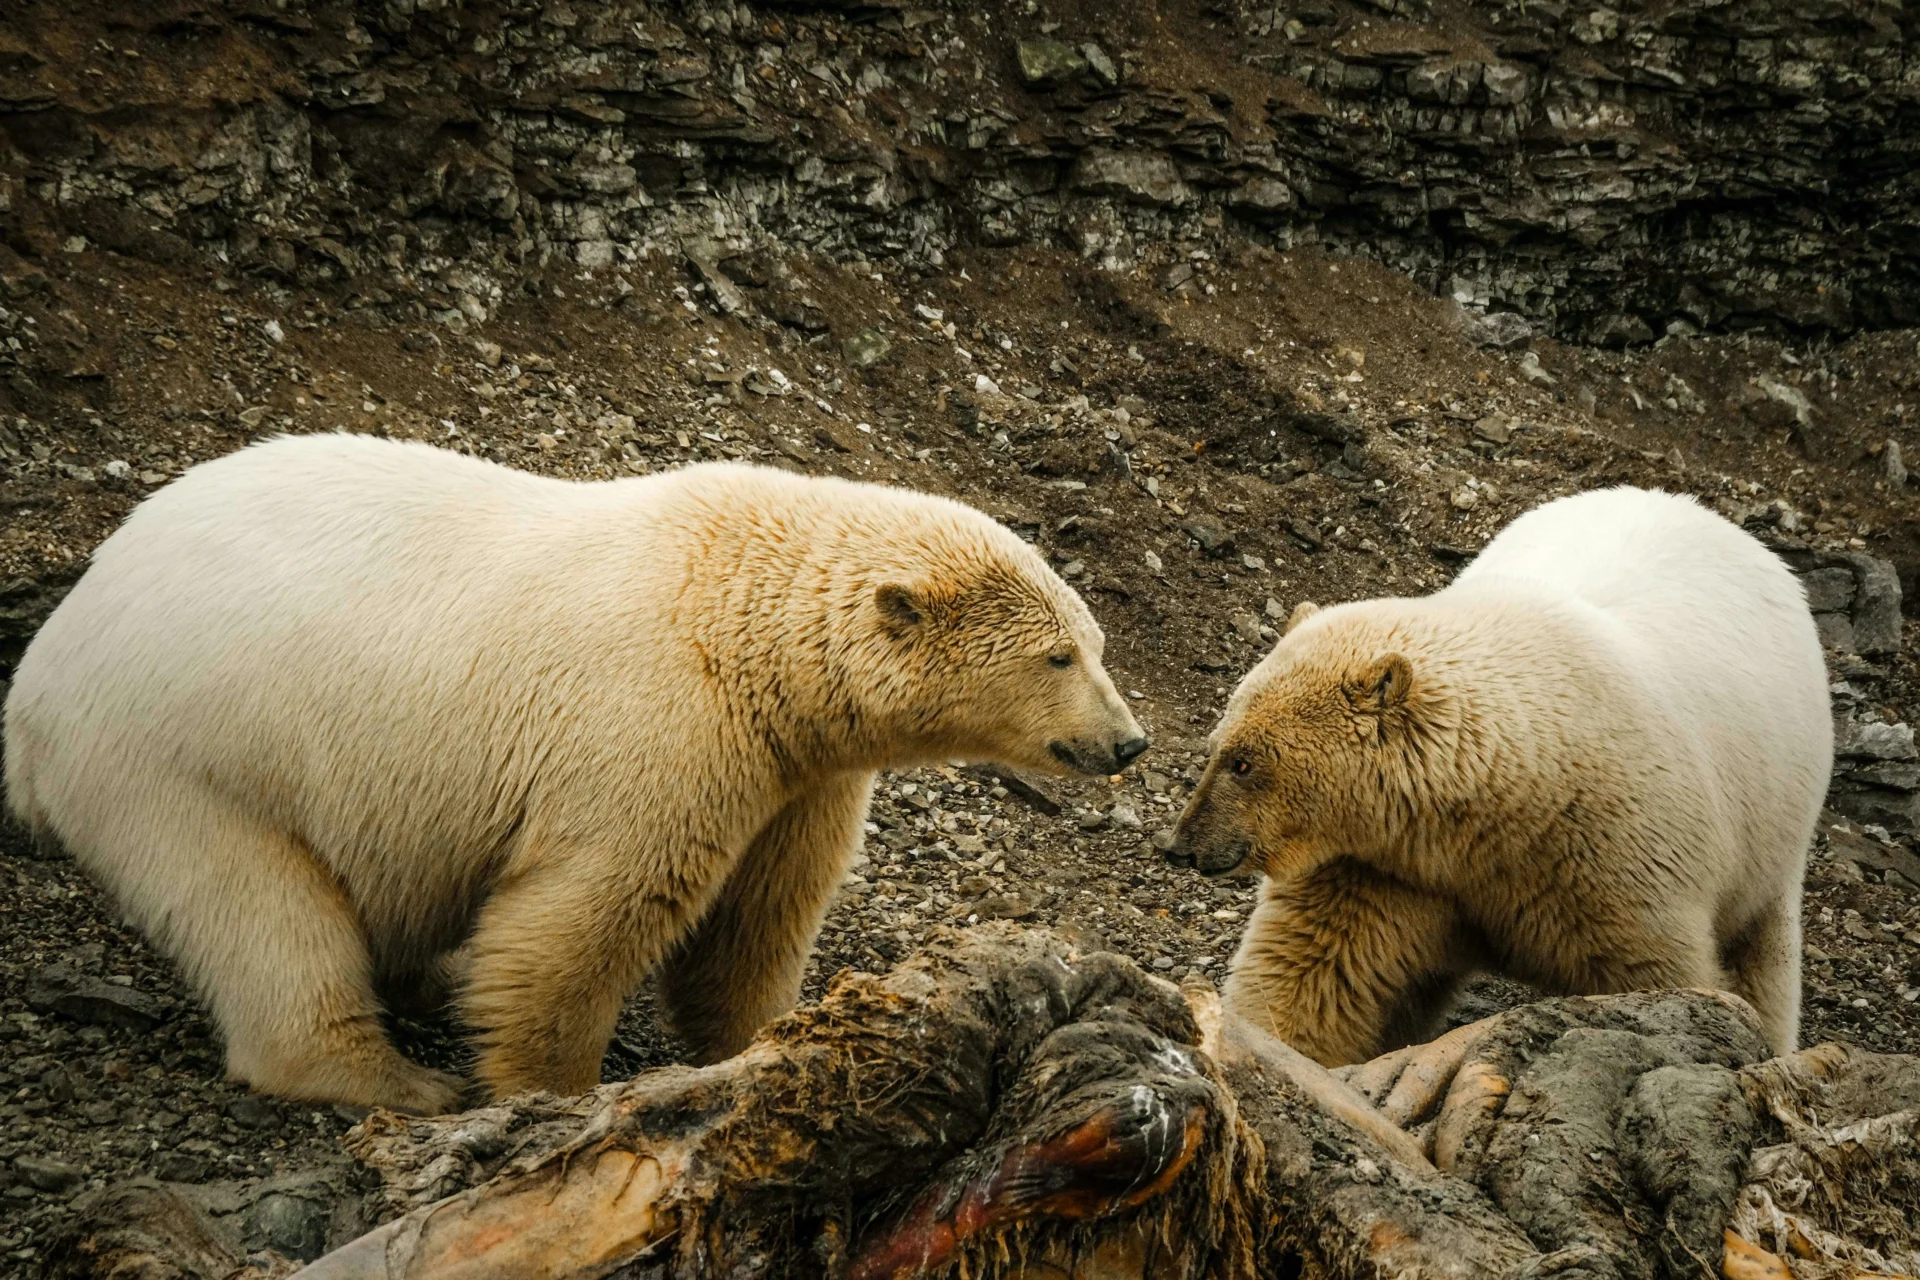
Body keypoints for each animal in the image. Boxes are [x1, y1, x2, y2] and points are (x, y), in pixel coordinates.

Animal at [7, 433, 1144, 1113]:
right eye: (1059, 658)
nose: (1127, 741)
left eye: (1096, 643)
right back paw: (393, 1077)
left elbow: (759, 913)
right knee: (259, 906)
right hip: (186, 754)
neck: (742, 619)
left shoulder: (798, 767)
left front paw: (766, 1037)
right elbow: (586, 917)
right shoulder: (655, 725)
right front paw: (551, 1091)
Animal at [1159, 485, 1835, 1066]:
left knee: (1764, 951)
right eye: (1215, 746)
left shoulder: (1615, 857)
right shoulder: (1389, 865)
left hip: (1774, 819)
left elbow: (1658, 973)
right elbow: (1315, 966)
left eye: (1245, 763)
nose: (1180, 845)